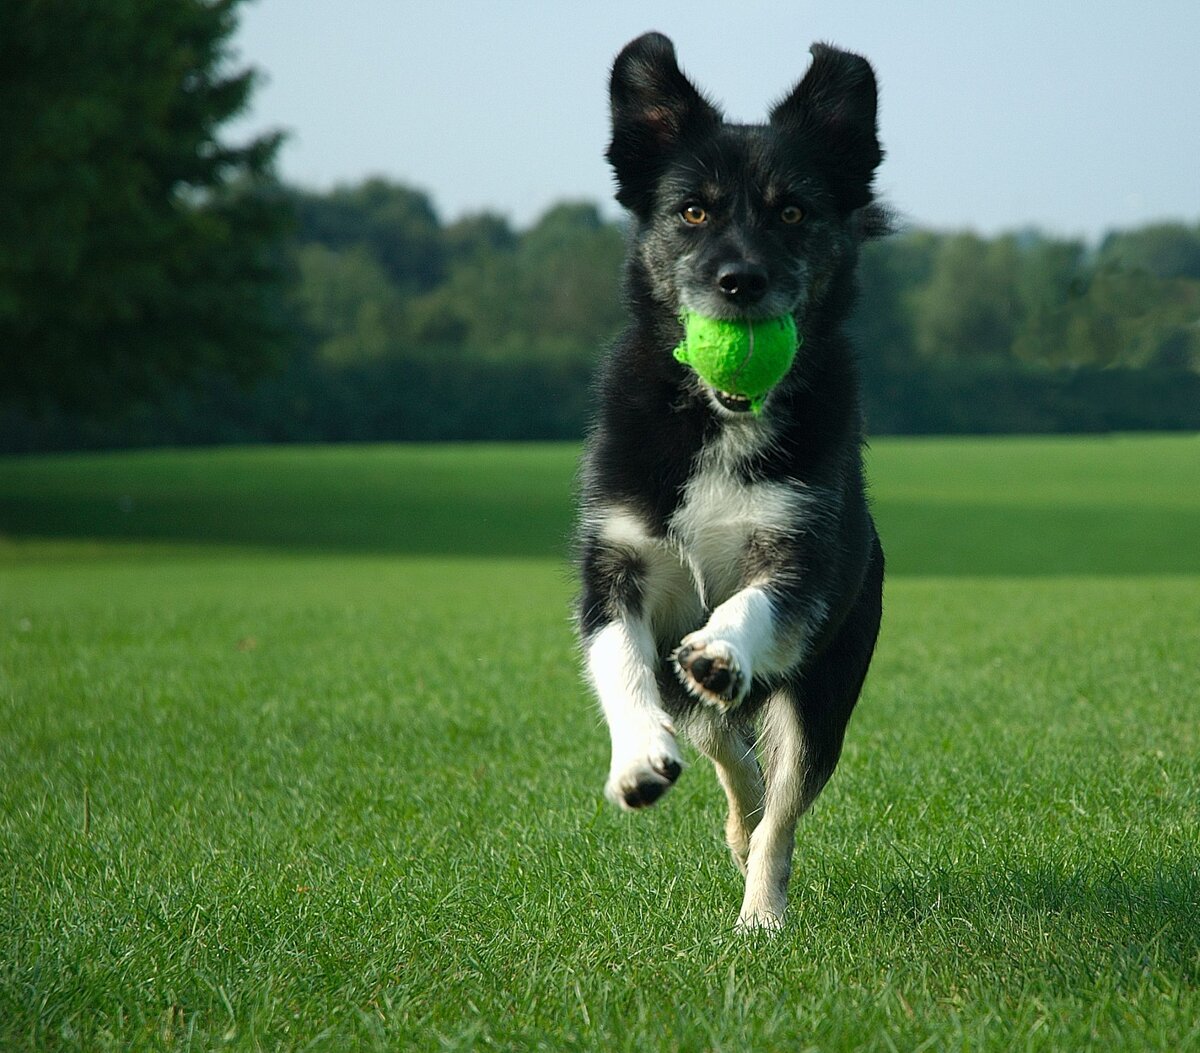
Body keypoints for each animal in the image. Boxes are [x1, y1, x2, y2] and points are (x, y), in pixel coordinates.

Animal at [576, 30, 888, 930]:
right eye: (692, 211)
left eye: (792, 212)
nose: (740, 282)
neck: (720, 419)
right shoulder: (615, 558)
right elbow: (620, 658)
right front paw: (638, 758)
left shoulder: (801, 554)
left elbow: (755, 604)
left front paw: (721, 649)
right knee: (727, 748)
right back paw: (731, 813)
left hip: (824, 692)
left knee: (780, 804)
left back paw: (762, 910)